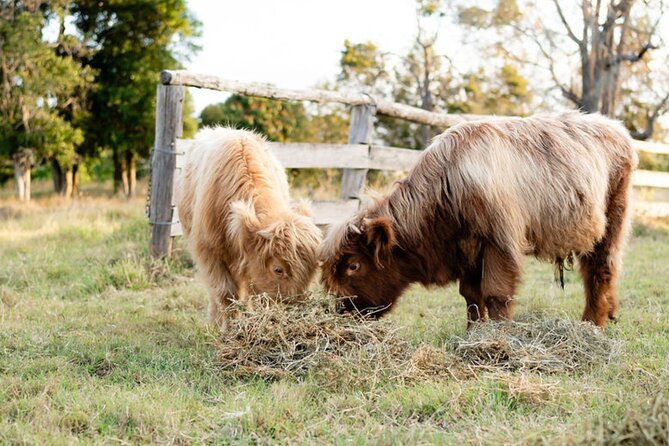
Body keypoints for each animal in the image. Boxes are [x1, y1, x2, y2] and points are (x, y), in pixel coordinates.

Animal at [176, 128, 322, 331]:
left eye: (313, 270)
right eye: (278, 269)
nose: (292, 312)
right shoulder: (208, 252)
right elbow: (225, 293)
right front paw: (229, 328)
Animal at [319, 113, 636, 328]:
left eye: (354, 266)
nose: (343, 310)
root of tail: (616, 128)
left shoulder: (499, 243)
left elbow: (495, 294)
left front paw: (498, 338)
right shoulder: (467, 248)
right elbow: (471, 295)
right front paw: (474, 331)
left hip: (612, 222)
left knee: (600, 271)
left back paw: (592, 324)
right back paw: (609, 313)